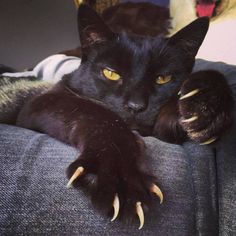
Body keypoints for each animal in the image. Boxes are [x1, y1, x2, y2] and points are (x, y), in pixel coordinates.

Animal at [15, 4, 233, 230]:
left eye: (163, 79)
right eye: (110, 73)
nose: (136, 106)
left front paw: (203, 104)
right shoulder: (43, 101)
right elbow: (97, 114)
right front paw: (121, 181)